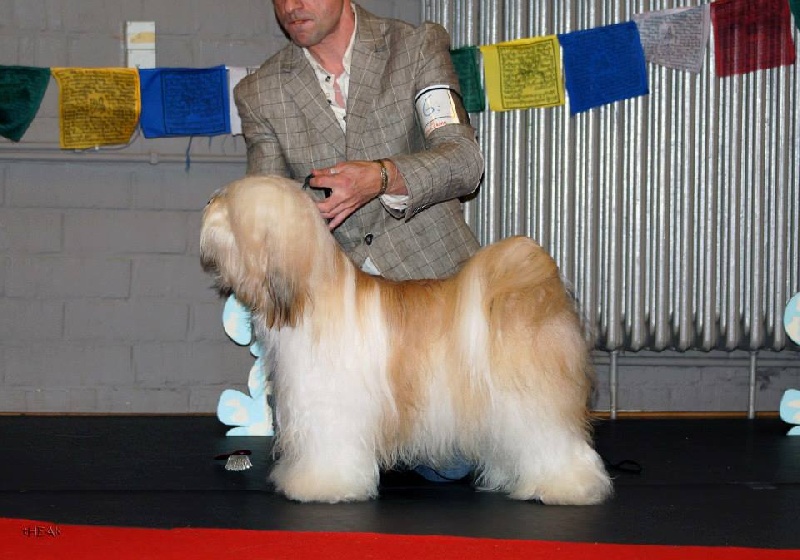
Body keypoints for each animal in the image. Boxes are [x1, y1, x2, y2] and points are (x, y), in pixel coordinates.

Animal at [200, 175, 612, 505]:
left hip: (529, 400)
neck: (308, 297)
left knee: (555, 440)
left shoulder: (330, 409)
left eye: (230, 207)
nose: (206, 204)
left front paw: (321, 486)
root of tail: (534, 289)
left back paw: (569, 486)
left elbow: (329, 451)